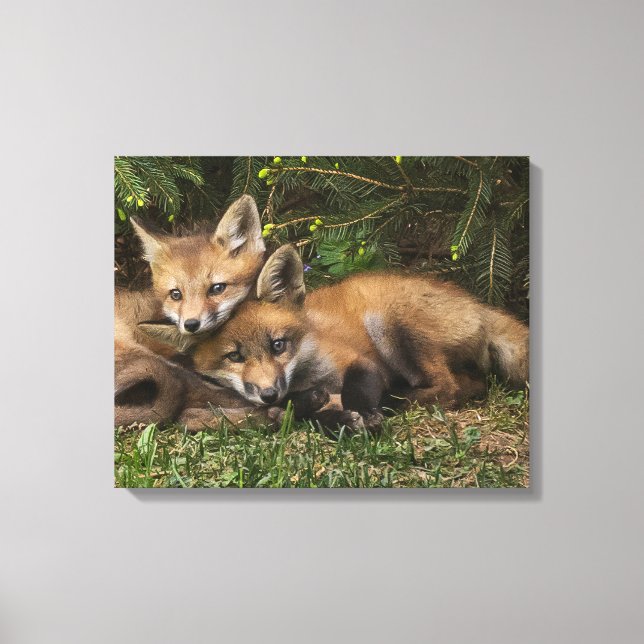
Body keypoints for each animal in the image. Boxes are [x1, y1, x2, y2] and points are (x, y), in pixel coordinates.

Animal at [183, 244, 529, 430]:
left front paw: (362, 414)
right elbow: (300, 414)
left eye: (278, 345)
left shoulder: (355, 361)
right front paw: (337, 419)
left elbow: (357, 389)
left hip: (389, 326)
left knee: (449, 388)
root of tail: (477, 303)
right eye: (235, 356)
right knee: (473, 385)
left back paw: (392, 400)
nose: (269, 393)